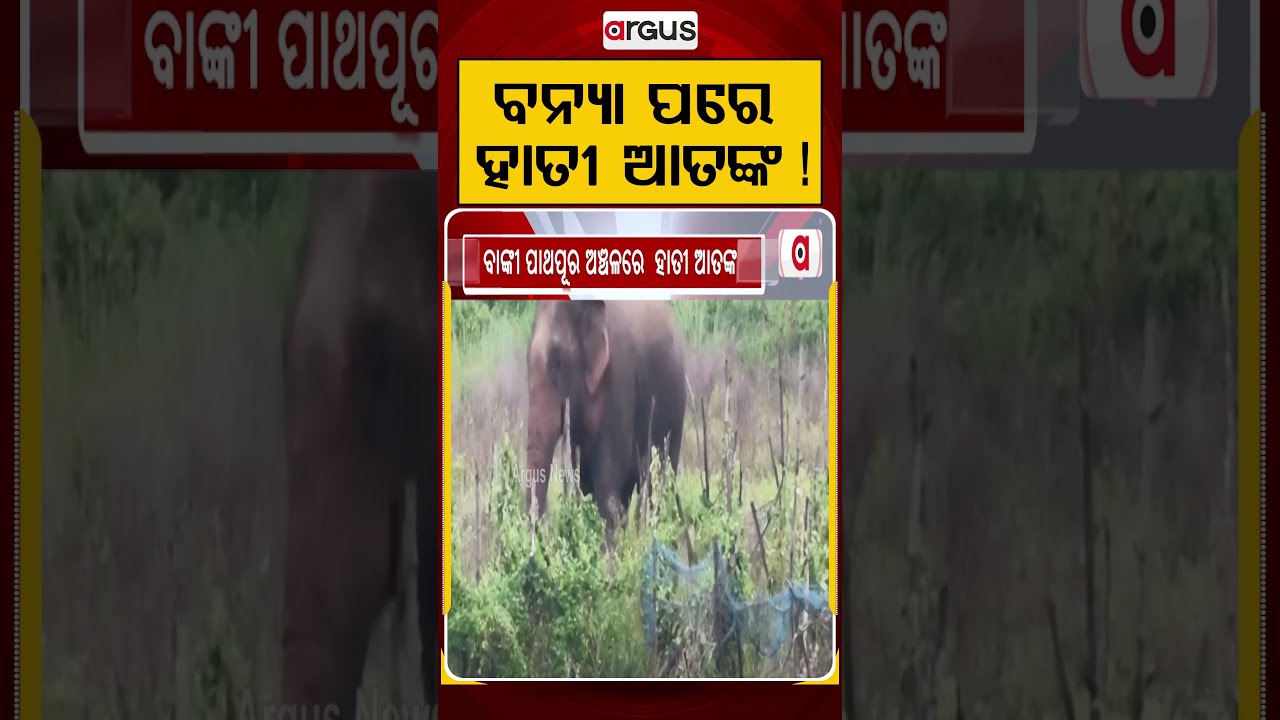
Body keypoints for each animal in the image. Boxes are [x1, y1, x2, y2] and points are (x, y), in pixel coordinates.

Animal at [524, 299, 688, 539]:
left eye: (559, 362)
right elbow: (585, 476)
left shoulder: (620, 375)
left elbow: (607, 473)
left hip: (675, 411)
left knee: (659, 479)